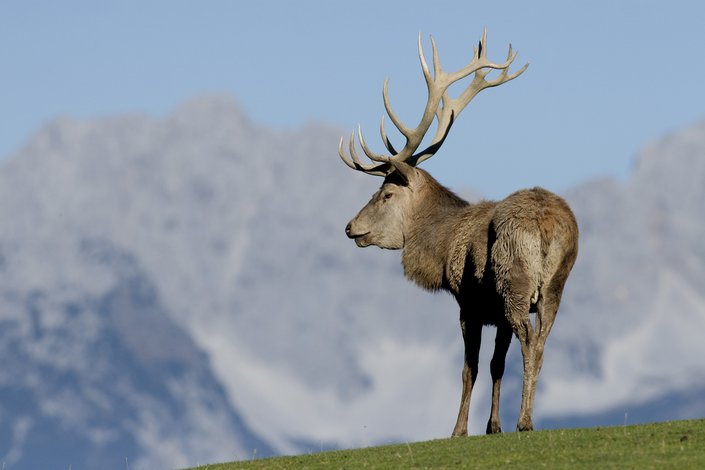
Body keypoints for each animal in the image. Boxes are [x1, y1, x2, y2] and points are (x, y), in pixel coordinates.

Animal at [338, 30, 578, 436]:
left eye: (386, 194)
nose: (350, 227)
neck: (442, 244)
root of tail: (547, 226)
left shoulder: (469, 302)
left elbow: (471, 369)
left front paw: (459, 429)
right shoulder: (494, 312)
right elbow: (497, 366)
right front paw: (492, 426)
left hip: (514, 280)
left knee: (529, 339)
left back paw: (525, 421)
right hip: (554, 287)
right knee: (543, 342)